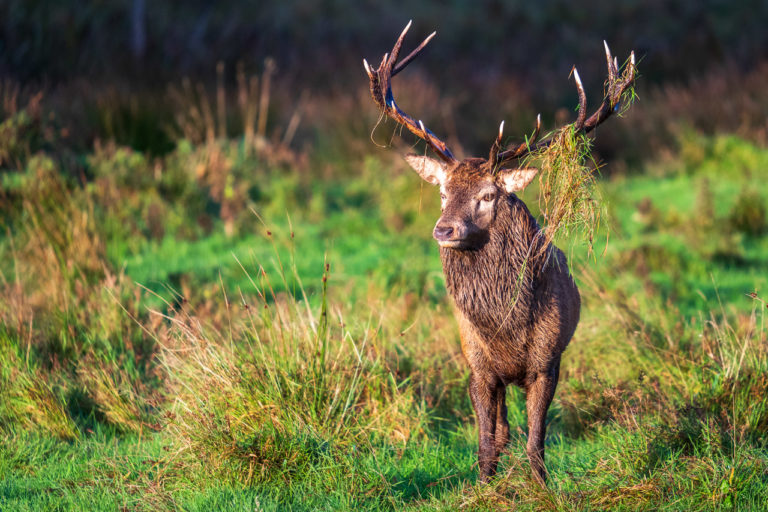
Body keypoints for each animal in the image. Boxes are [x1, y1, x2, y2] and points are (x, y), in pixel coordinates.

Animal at [363, 22, 636, 484]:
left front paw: (543, 487)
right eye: (442, 191)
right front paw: (483, 486)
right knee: (502, 427)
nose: (444, 229)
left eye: (489, 194)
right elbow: (487, 442)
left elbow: (536, 442)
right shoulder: (477, 363)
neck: (505, 328)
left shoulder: (547, 362)